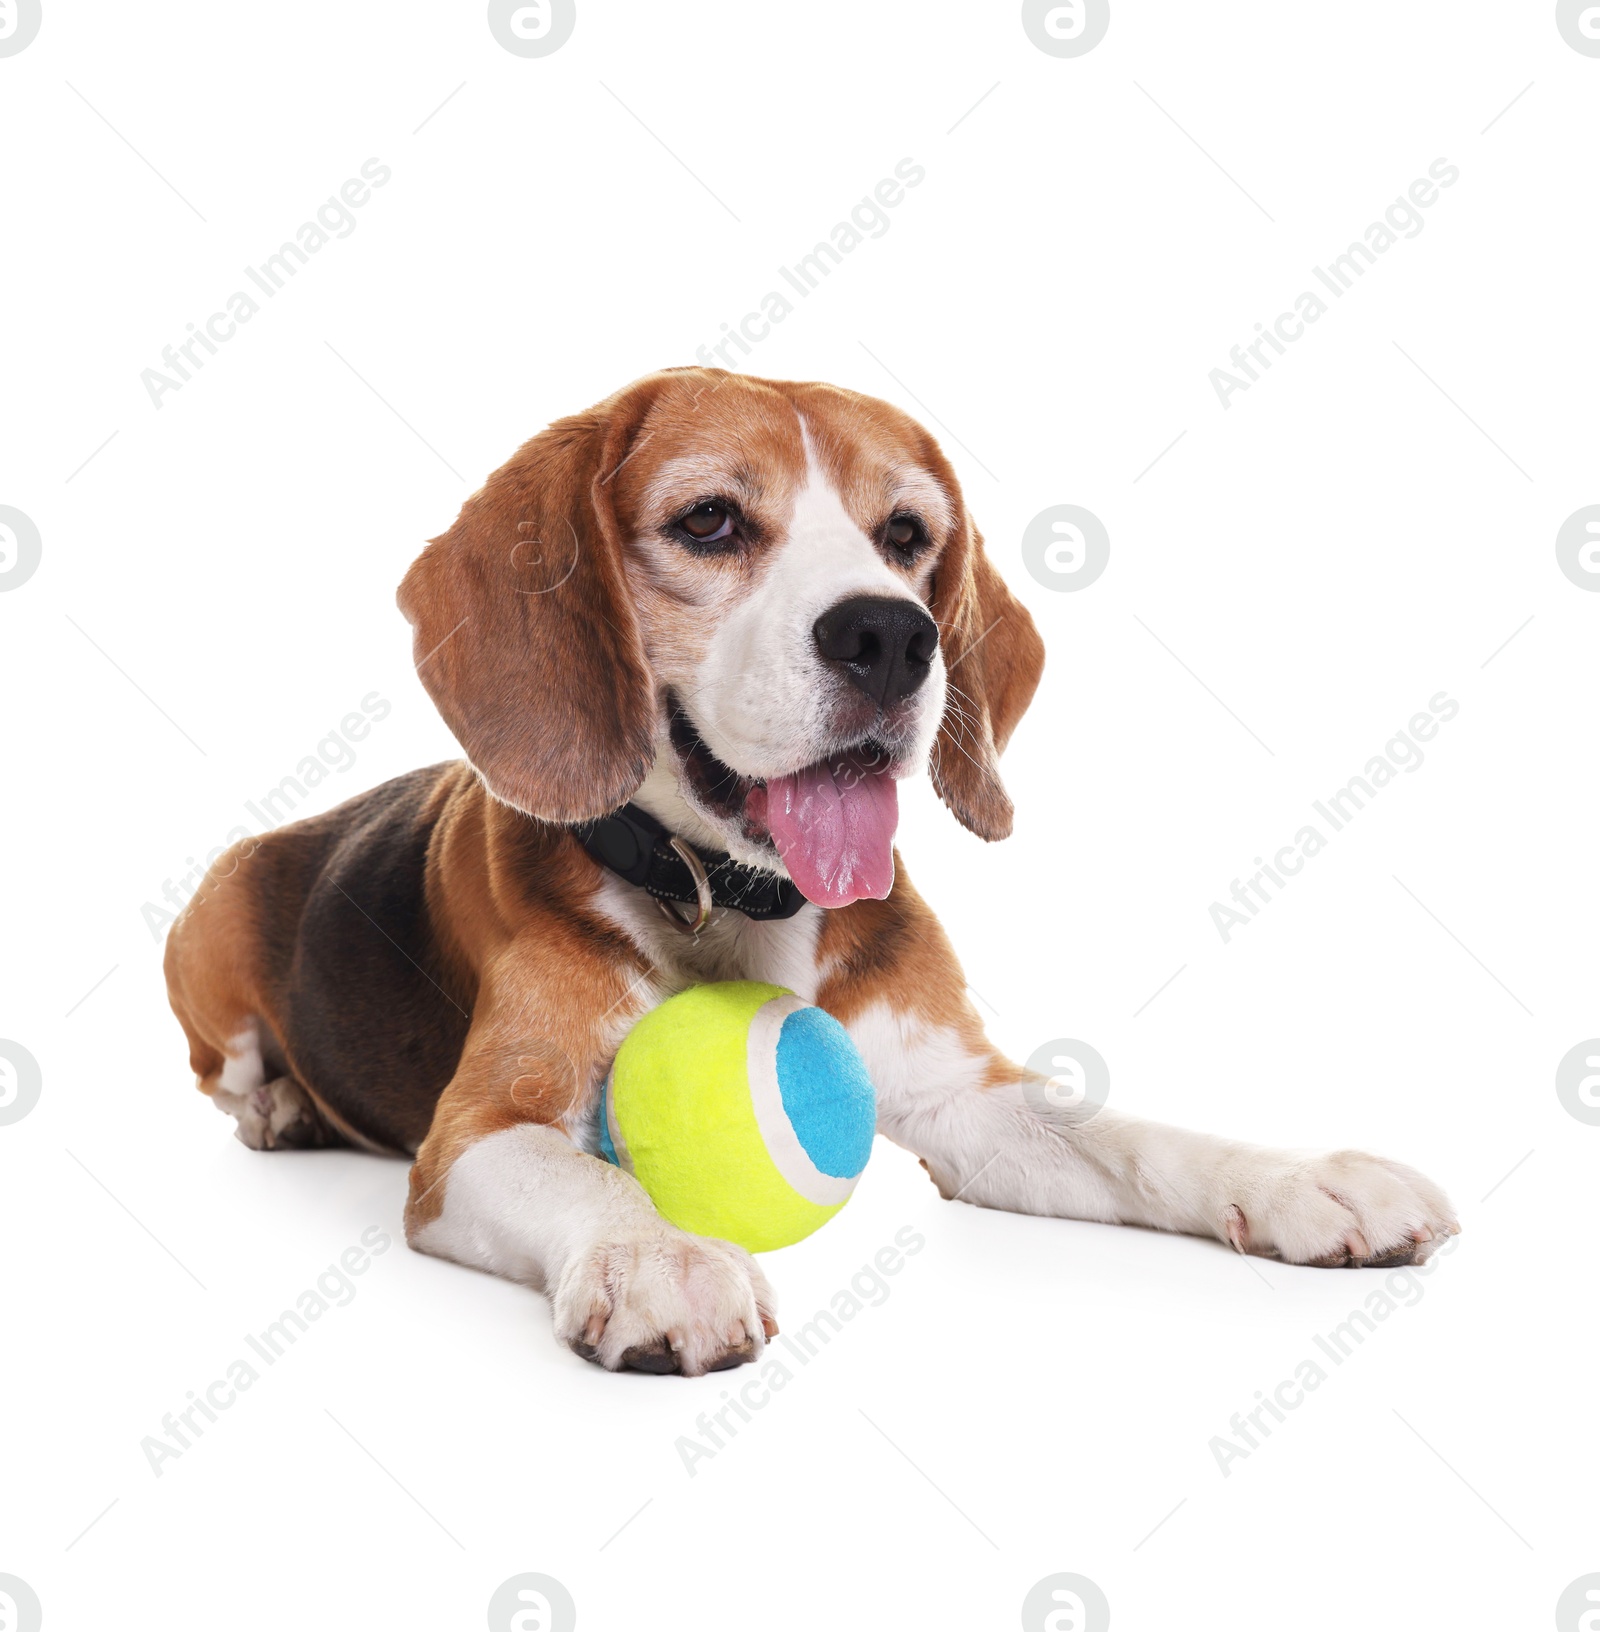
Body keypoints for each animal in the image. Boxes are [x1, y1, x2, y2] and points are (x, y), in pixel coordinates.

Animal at [165, 370, 1462, 1377]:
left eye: (907, 536)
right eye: (708, 522)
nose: (890, 635)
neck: (727, 892)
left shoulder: (966, 1101)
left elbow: (1132, 1135)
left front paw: (1306, 1180)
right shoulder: (481, 1133)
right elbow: (589, 1180)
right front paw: (659, 1255)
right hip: (205, 938)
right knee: (224, 1074)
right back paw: (279, 1107)